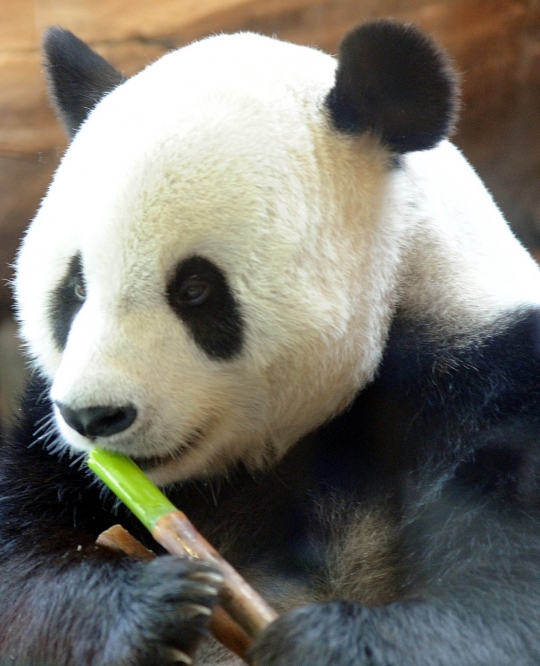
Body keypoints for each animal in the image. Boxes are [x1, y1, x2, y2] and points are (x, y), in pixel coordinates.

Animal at [3, 15, 540, 664]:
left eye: (195, 289)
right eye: (77, 286)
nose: (93, 415)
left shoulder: (493, 376)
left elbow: (503, 602)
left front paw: (314, 642)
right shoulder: (49, 438)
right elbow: (21, 567)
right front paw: (152, 606)